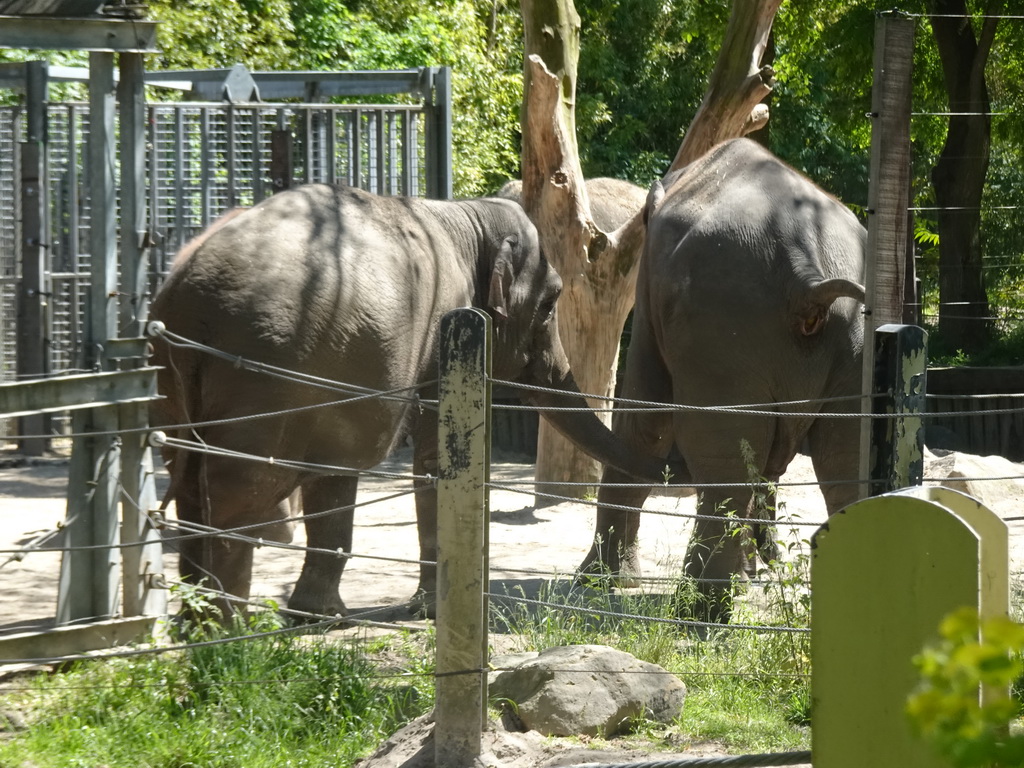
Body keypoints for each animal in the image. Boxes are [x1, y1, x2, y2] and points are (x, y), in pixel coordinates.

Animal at [146, 183, 671, 622]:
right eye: (550, 304)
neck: (464, 216)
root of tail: (193, 292)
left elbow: (335, 474)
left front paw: (319, 617)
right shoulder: (445, 337)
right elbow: (433, 457)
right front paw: (434, 612)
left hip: (174, 376)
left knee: (189, 482)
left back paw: (196, 625)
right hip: (264, 372)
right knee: (237, 494)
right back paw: (224, 633)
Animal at [577, 137, 864, 618]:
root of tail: (806, 276)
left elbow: (644, 420)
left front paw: (598, 582)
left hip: (723, 327)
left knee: (720, 454)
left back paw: (697, 610)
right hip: (851, 336)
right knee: (843, 457)